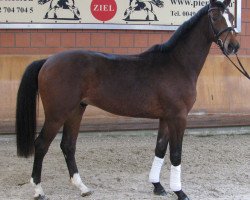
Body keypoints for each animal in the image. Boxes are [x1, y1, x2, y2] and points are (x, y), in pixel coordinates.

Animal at [15, 0, 238, 199]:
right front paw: (180, 192)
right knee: (41, 144)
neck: (177, 63)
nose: (233, 46)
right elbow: (176, 154)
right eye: (215, 17)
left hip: (76, 110)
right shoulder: (178, 117)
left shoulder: (166, 118)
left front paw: (157, 186)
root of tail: (48, 61)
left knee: (68, 145)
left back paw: (83, 188)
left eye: (232, 18)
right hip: (57, 114)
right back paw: (38, 190)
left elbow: (160, 148)